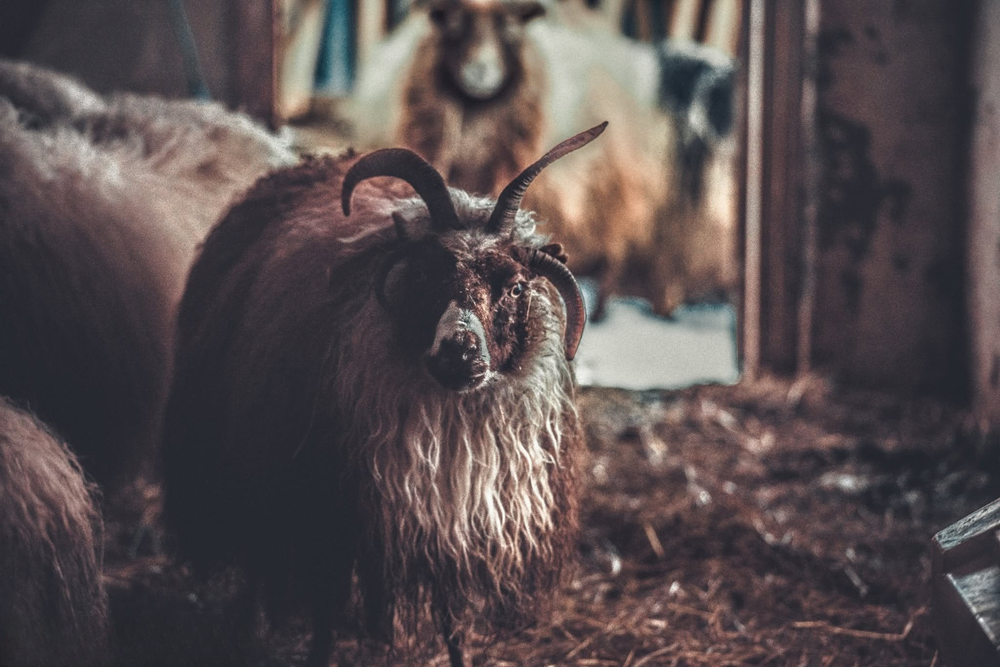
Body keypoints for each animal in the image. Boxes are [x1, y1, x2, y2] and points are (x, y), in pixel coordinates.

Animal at [162, 125, 606, 667]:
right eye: (424, 273)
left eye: (518, 287)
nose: (459, 353)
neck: (450, 417)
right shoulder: (328, 506)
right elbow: (325, 611)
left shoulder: (450, 528)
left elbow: (453, 621)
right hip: (250, 461)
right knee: (256, 556)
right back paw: (245, 634)